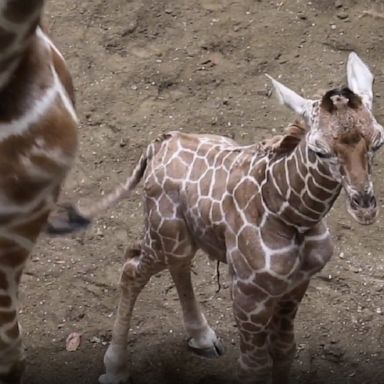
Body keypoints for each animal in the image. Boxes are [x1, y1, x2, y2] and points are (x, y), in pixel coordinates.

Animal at [49, 51, 382, 384]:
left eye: (378, 140)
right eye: (319, 150)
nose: (364, 206)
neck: (290, 214)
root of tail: (159, 143)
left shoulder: (296, 285)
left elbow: (285, 350)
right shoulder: (247, 293)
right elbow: (253, 366)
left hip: (184, 237)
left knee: (178, 265)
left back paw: (203, 338)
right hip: (163, 232)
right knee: (132, 267)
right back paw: (116, 368)